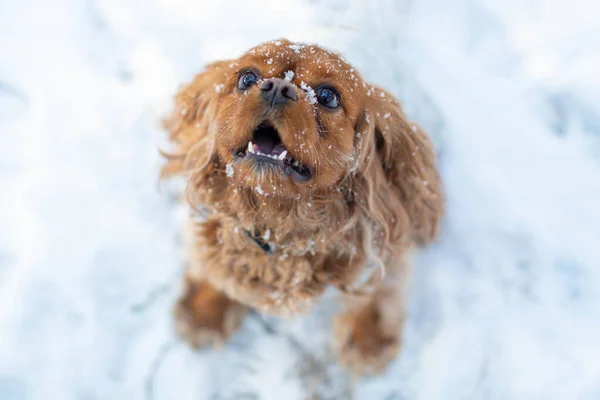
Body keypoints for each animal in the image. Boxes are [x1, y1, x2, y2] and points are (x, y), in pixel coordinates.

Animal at [162, 39, 442, 376]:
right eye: (246, 78)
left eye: (327, 96)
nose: (277, 87)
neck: (279, 225)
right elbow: (213, 265)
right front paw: (204, 312)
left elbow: (382, 289)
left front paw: (367, 339)